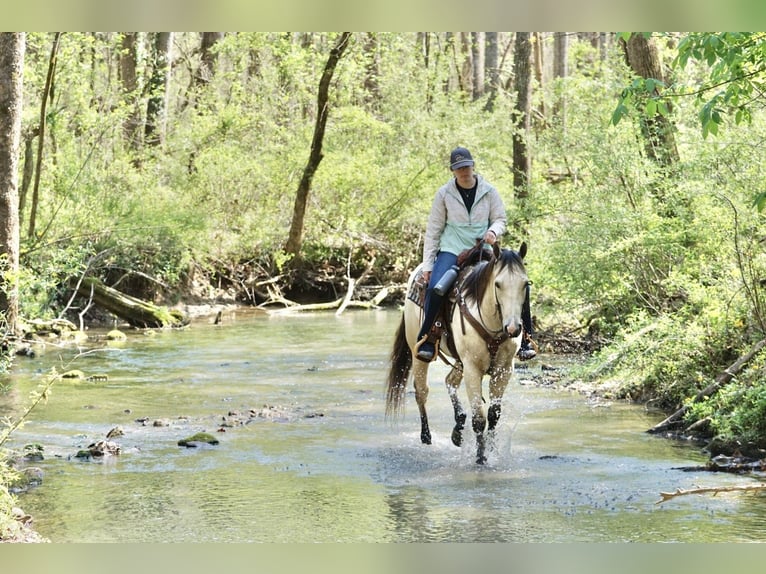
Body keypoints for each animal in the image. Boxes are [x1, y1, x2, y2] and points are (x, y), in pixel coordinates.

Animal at [385, 242, 530, 464]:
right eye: (498, 284)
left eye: (525, 284)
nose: (513, 328)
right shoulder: (472, 369)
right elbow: (479, 418)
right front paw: (480, 458)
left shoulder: (503, 370)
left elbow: (494, 414)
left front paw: (492, 451)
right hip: (418, 352)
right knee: (421, 391)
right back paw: (426, 436)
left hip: (460, 362)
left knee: (449, 381)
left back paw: (458, 430)